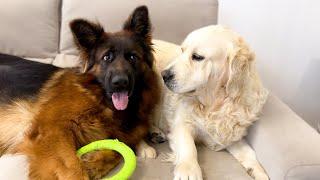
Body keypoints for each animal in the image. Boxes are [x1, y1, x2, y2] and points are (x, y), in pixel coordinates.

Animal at [0, 5, 160, 180]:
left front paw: (92, 162)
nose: (120, 83)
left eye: (132, 57)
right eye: (107, 57)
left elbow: (119, 150)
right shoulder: (52, 129)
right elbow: (73, 167)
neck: (100, 100)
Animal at [152, 25, 270, 180]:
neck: (215, 105)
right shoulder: (182, 123)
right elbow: (189, 146)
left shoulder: (231, 135)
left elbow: (249, 153)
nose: (164, 75)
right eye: (182, 50)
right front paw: (189, 170)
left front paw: (258, 171)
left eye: (197, 57)